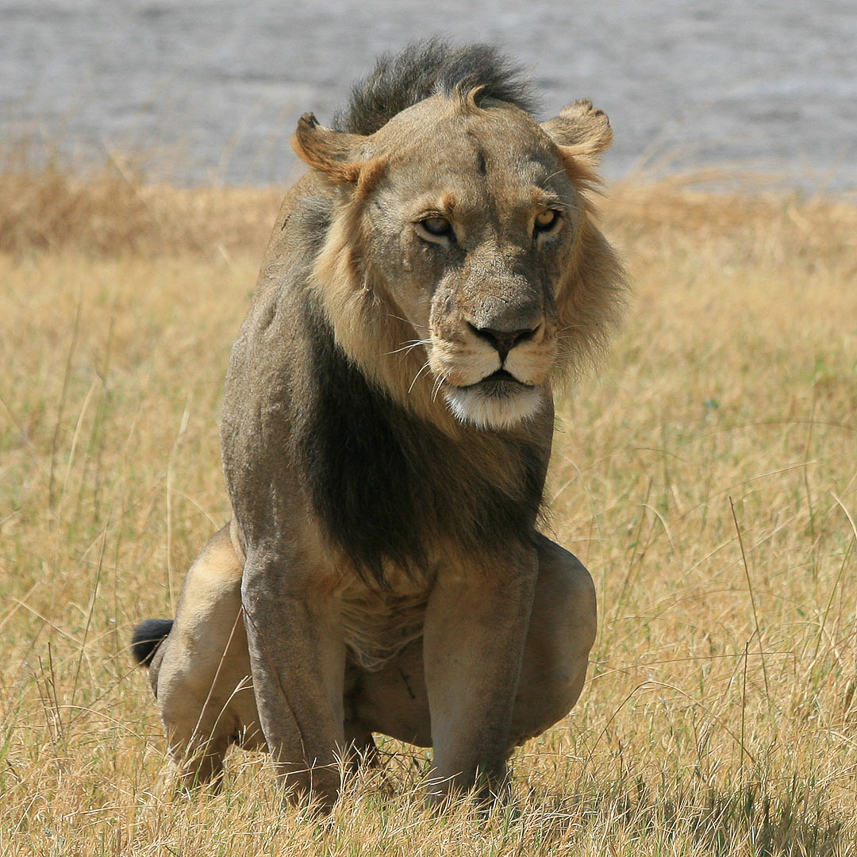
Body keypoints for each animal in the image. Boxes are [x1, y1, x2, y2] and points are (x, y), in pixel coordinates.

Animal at [135, 41, 628, 808]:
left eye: (545, 220)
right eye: (435, 226)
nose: (508, 334)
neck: (416, 400)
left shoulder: (492, 558)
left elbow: (473, 725)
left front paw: (464, 815)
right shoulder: (278, 566)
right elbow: (300, 742)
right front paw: (312, 821)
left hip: (569, 593)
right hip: (214, 594)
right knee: (203, 744)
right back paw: (178, 805)